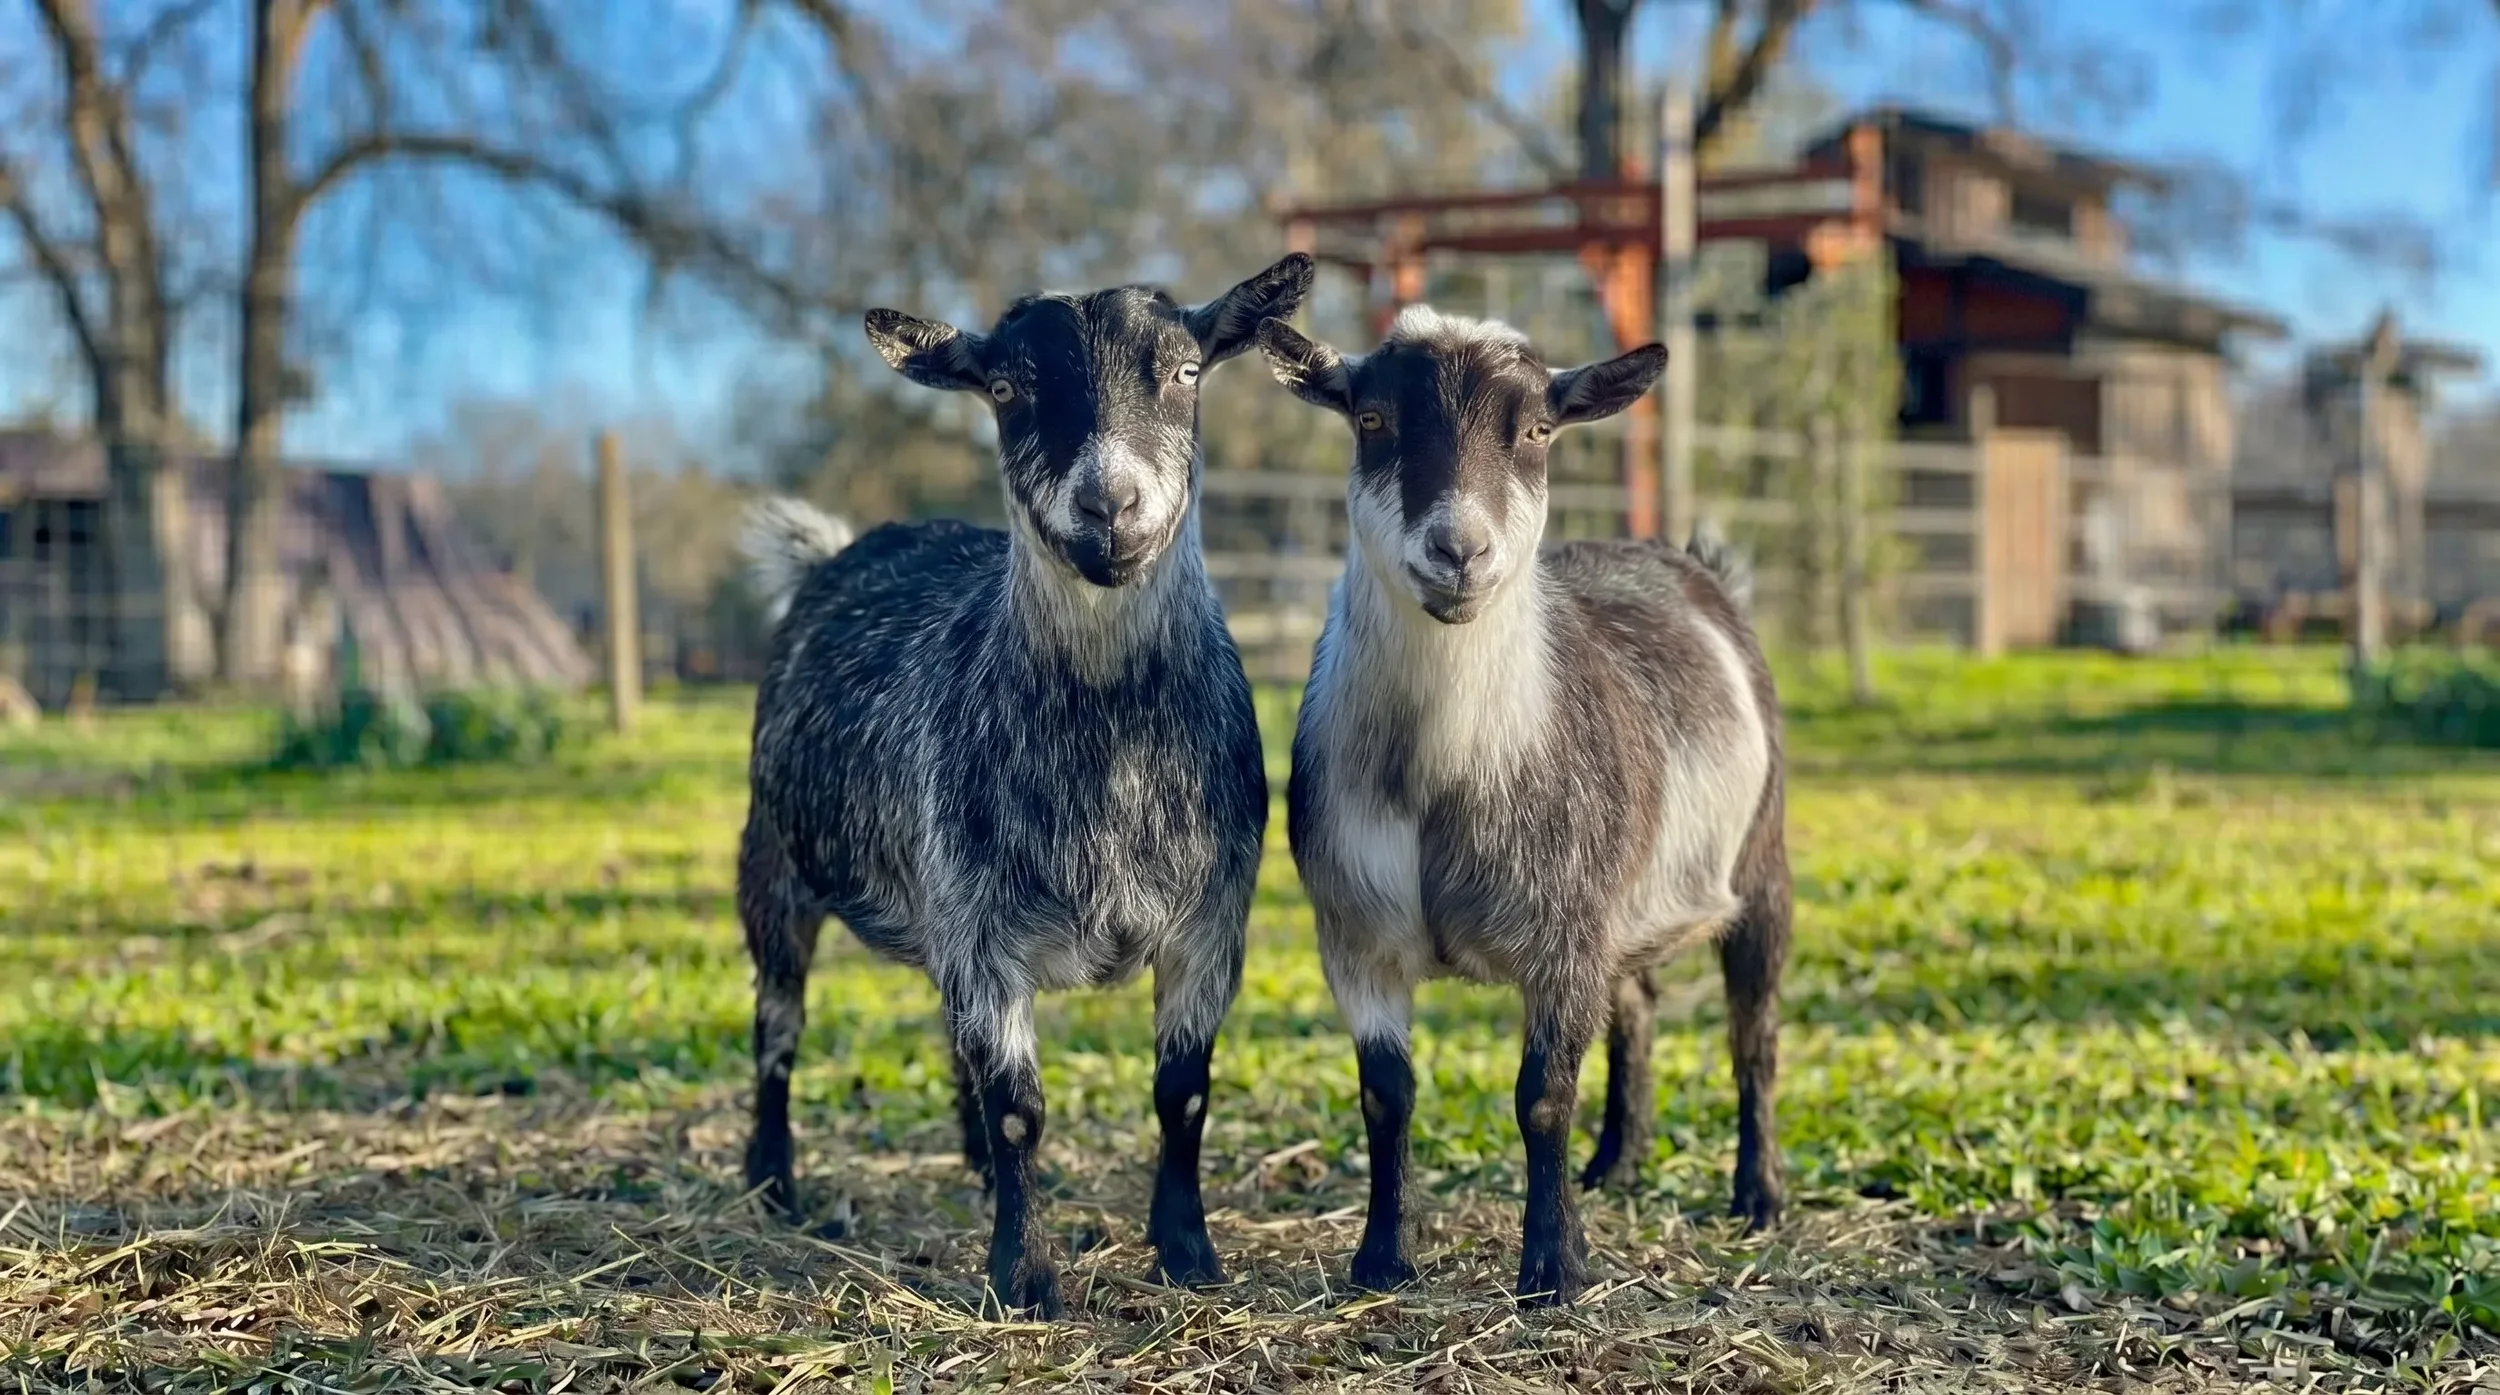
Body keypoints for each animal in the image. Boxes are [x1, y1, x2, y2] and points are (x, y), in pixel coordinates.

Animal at [736, 256, 1314, 1317]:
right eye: (1006, 388)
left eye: (1185, 371)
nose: (1109, 507)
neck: (1112, 762)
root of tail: (836, 551)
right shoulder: (982, 928)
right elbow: (1019, 1109)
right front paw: (1028, 1277)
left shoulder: (1211, 921)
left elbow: (1183, 1092)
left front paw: (1187, 1254)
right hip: (775, 867)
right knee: (777, 1025)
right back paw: (771, 1181)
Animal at [1254, 305, 1789, 1306]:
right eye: (1372, 418)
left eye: (1539, 429)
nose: (1459, 552)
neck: (1443, 779)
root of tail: (1695, 567)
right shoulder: (1355, 933)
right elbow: (1386, 1095)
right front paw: (1381, 1259)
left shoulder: (1564, 932)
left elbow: (1542, 1096)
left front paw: (1554, 1269)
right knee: (1638, 1006)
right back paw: (1616, 1163)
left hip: (1763, 862)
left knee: (1755, 1031)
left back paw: (1759, 1195)